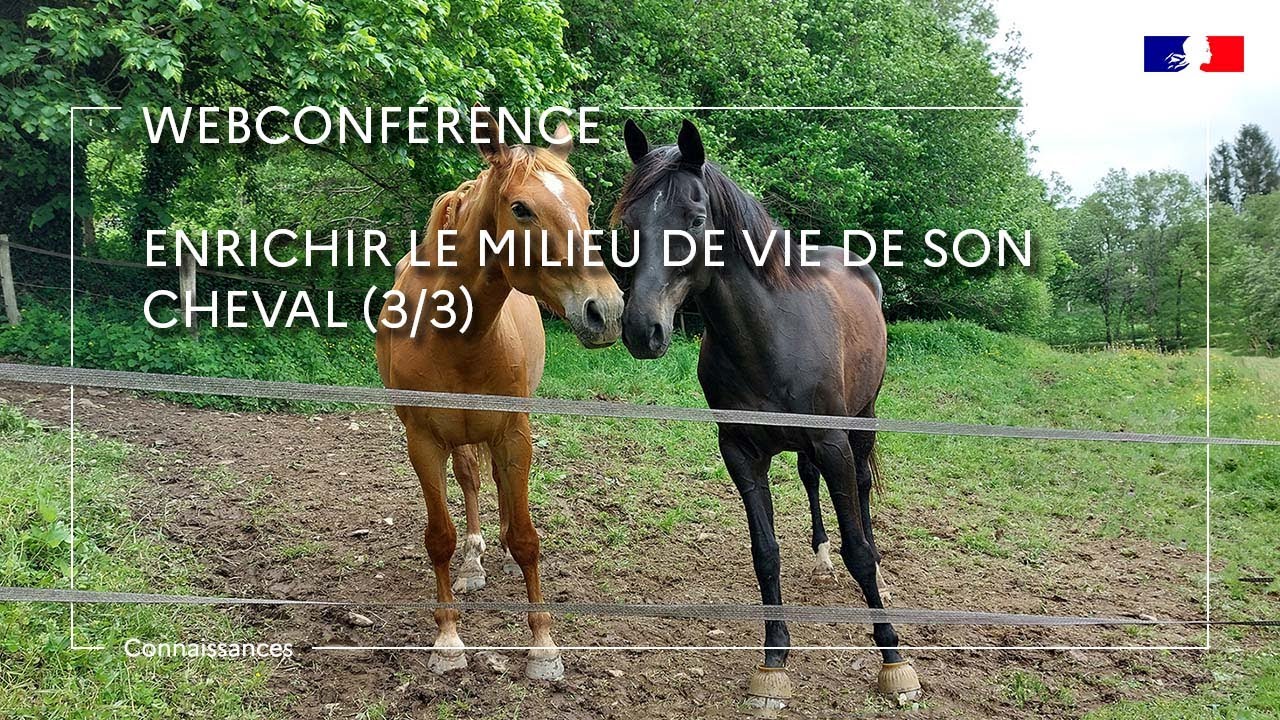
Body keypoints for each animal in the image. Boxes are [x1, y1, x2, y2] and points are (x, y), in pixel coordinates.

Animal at [375, 112, 624, 680]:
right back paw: (473, 562)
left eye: (586, 203)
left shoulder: (514, 432)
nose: (606, 310)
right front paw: (448, 639)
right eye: (521, 208)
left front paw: (543, 646)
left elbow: (528, 538)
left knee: (496, 487)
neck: (456, 332)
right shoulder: (423, 440)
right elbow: (439, 537)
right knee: (469, 481)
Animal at [614, 119, 920, 713]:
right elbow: (765, 553)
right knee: (809, 483)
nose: (643, 330)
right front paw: (773, 659)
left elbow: (858, 550)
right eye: (629, 224)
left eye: (697, 219)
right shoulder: (741, 452)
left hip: (863, 419)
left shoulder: (832, 442)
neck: (767, 337)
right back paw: (821, 558)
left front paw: (893, 657)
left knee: (861, 491)